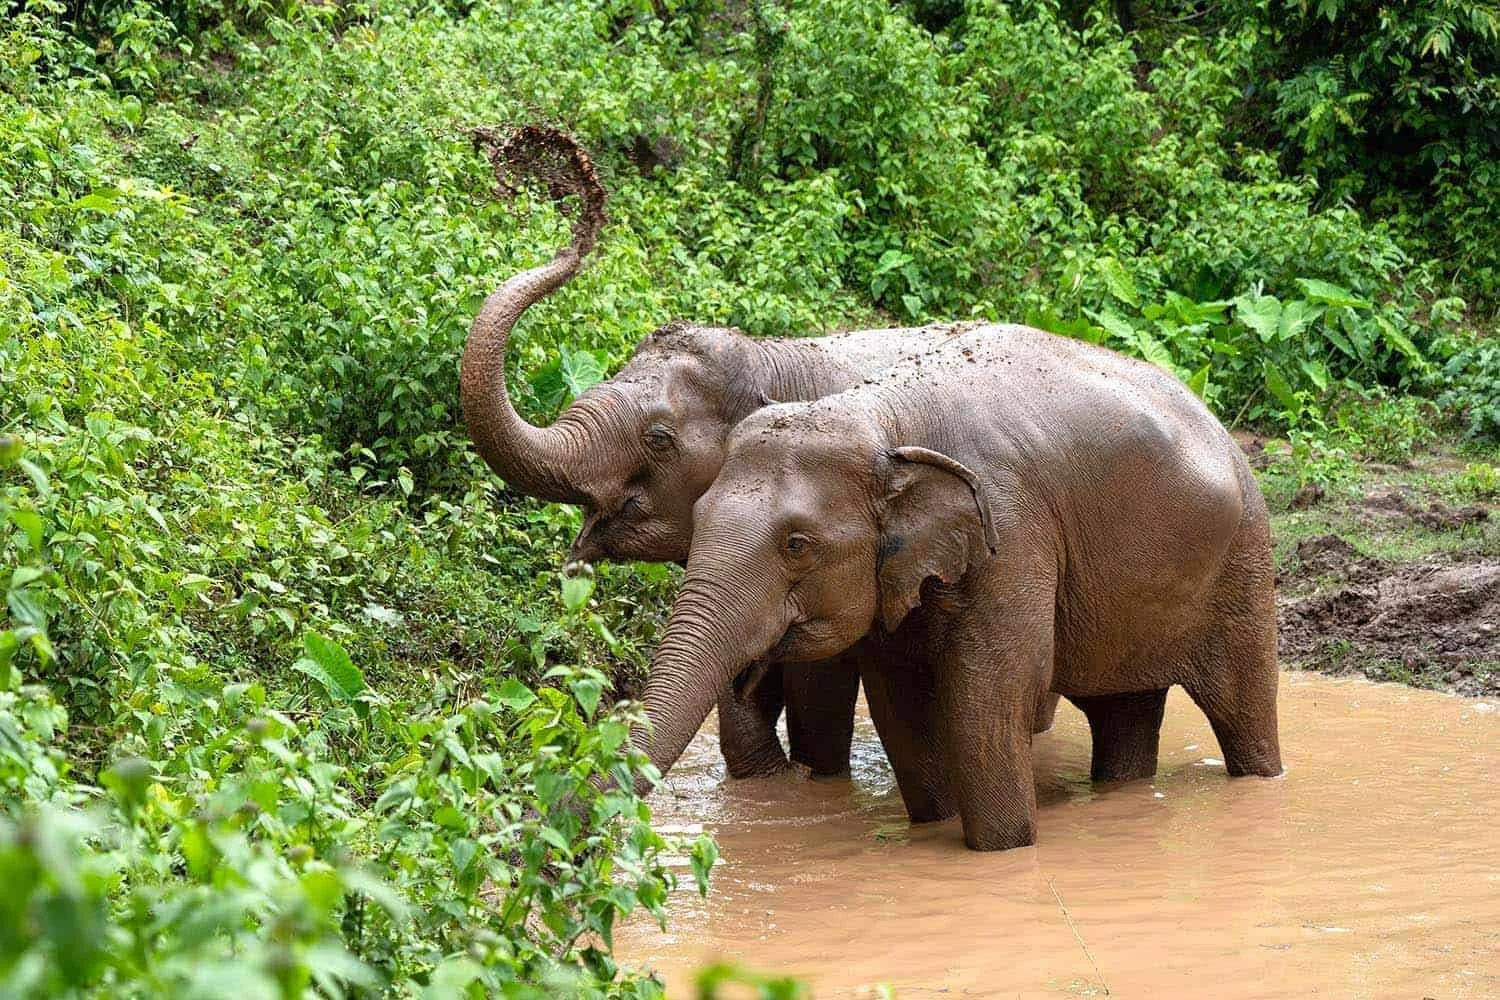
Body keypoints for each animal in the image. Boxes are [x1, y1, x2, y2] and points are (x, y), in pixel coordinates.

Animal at [630, 323, 1284, 851]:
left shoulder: (1011, 532)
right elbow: (901, 703)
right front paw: (937, 825)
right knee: (1123, 710)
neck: (884, 418)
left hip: (1244, 562)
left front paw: (1004, 850)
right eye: (698, 518)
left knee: (1243, 706)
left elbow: (989, 691)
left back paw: (1261, 776)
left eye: (797, 544)